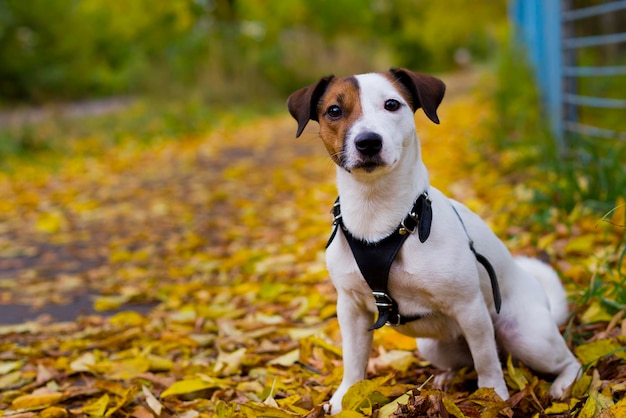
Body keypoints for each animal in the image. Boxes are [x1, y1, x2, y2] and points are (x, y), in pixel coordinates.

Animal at [288, 69, 580, 414]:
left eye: (392, 104)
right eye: (334, 110)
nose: (368, 141)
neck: (377, 215)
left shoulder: (469, 307)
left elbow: (486, 362)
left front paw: (493, 395)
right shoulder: (351, 308)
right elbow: (354, 359)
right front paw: (345, 396)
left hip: (525, 336)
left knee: (558, 360)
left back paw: (564, 384)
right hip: (433, 346)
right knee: (465, 361)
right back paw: (446, 377)